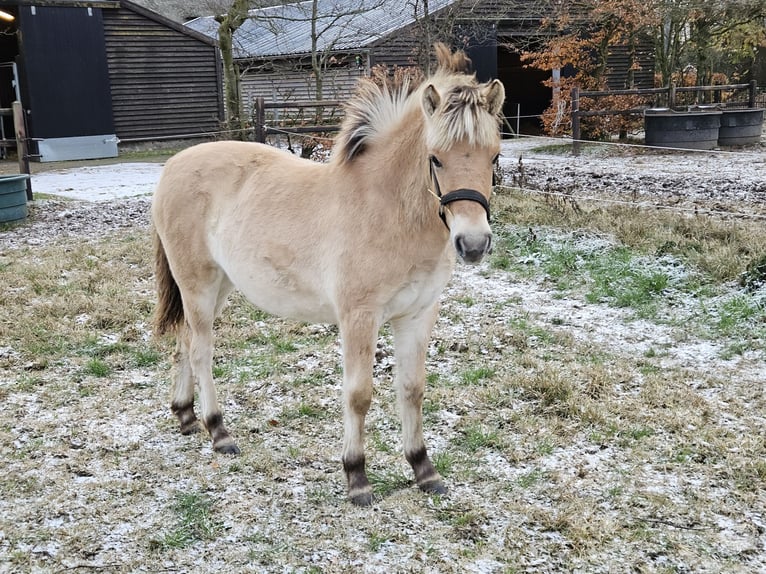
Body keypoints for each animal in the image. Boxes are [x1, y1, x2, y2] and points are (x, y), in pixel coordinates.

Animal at [152, 43, 505, 506]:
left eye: (494, 156)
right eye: (436, 158)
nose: (474, 243)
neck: (387, 210)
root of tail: (173, 165)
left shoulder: (418, 314)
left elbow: (412, 390)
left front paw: (424, 470)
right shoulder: (359, 317)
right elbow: (359, 395)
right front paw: (357, 476)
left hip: (217, 286)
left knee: (185, 341)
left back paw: (186, 416)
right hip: (197, 283)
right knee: (201, 351)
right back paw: (218, 430)